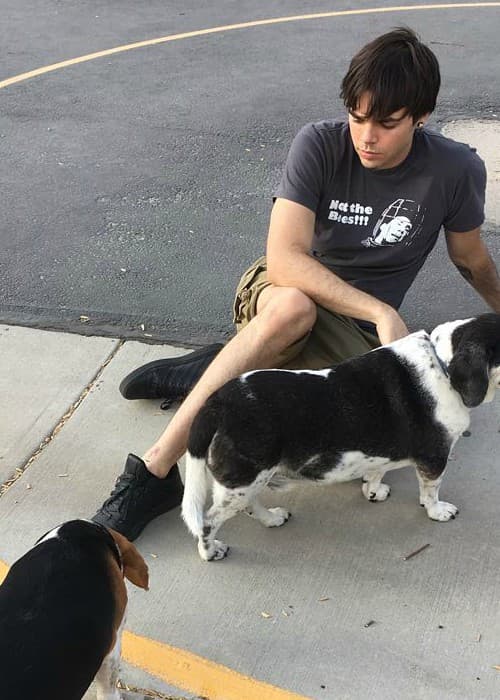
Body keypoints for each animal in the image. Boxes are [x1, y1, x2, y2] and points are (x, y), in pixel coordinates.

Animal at [182, 314, 500, 560]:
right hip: (243, 480)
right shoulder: (434, 458)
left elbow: (377, 472)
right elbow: (431, 491)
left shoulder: (380, 453)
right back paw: (211, 552)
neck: (443, 364)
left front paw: (373, 492)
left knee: (250, 505)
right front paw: (437, 511)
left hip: (249, 481)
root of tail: (216, 404)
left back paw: (272, 518)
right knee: (208, 523)